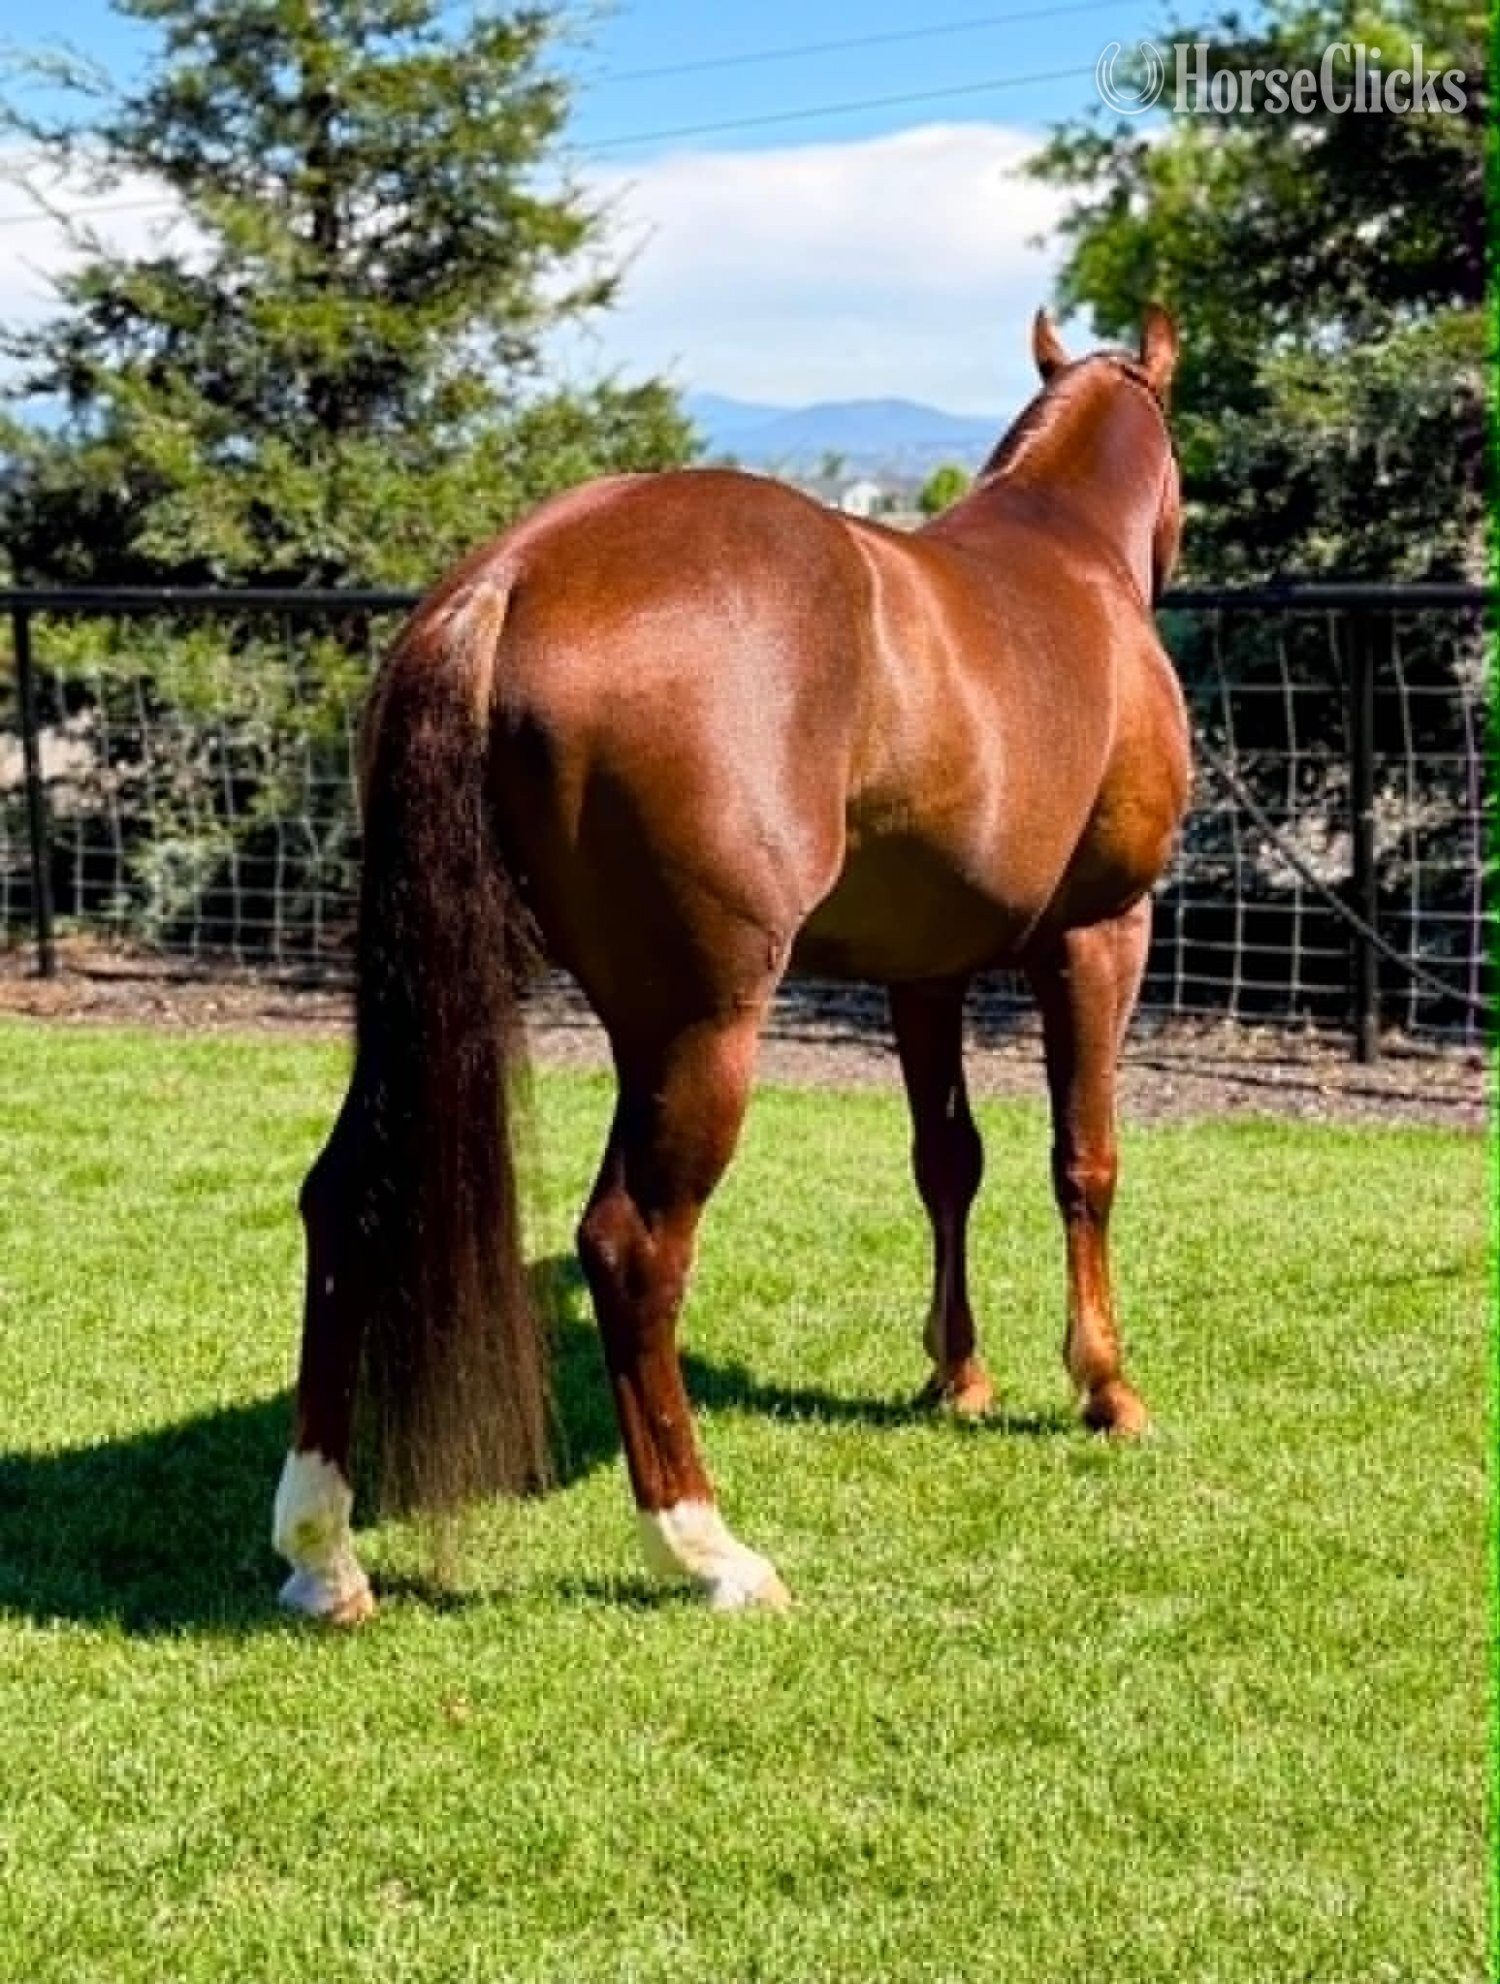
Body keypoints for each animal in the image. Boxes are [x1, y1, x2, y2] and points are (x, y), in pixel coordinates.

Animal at [271, 305, 1191, 1622]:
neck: (1066, 557)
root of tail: (513, 577)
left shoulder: (926, 970)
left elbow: (947, 1163)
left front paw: (958, 1376)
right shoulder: (1104, 931)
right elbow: (1086, 1161)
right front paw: (1105, 1387)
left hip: (426, 1003)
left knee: (349, 1199)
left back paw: (322, 1550)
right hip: (698, 1026)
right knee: (632, 1244)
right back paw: (705, 1546)